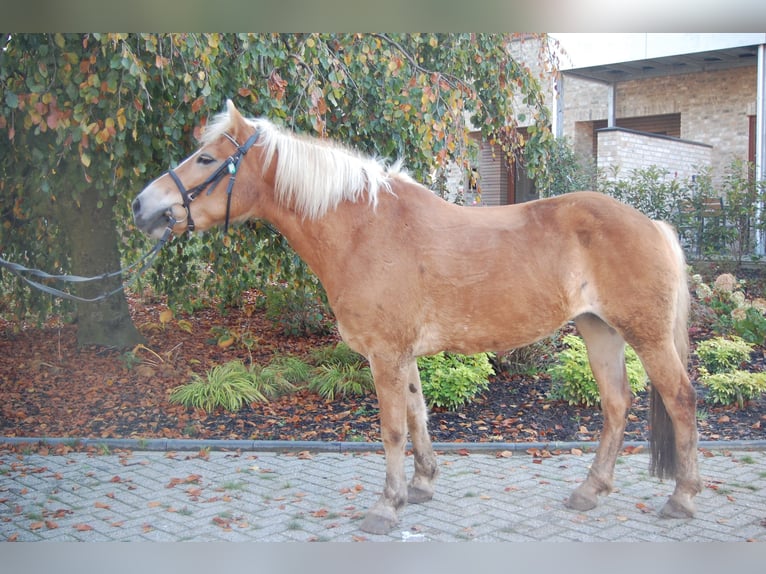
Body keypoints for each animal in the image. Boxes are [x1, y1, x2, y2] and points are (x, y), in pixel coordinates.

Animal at [134, 101, 704, 536]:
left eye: (206, 157)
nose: (143, 206)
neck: (365, 229)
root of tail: (653, 225)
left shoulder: (384, 354)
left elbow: (391, 429)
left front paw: (387, 506)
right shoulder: (401, 354)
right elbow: (417, 414)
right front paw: (422, 483)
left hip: (647, 336)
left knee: (679, 399)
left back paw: (682, 498)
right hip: (598, 330)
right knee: (616, 404)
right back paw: (590, 490)